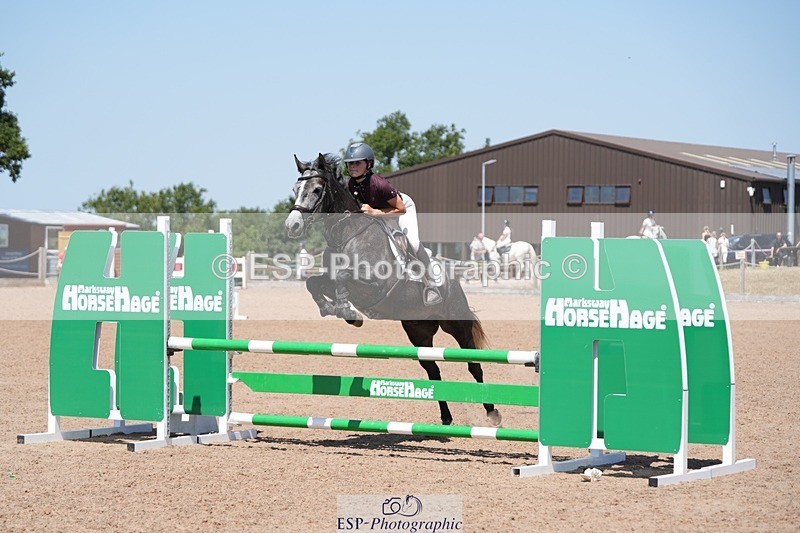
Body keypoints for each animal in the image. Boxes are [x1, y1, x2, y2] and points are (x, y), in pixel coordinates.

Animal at [284, 153, 501, 427]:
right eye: (295, 189)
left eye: (316, 189)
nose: (292, 226)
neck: (346, 235)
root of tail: (454, 281)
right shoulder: (333, 280)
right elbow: (314, 282)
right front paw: (330, 307)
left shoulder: (374, 285)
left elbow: (343, 277)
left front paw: (348, 312)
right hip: (418, 331)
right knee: (433, 371)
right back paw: (446, 418)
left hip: (456, 323)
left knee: (473, 365)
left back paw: (492, 413)